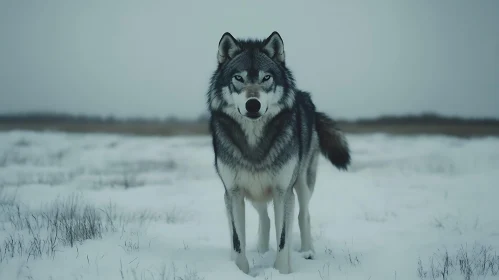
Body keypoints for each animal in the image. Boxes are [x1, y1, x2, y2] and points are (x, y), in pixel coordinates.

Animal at [206, 31, 352, 274]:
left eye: (266, 78)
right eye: (239, 78)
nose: (253, 104)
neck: (254, 142)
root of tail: (304, 95)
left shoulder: (283, 191)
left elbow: (283, 237)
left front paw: (282, 271)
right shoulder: (233, 192)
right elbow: (237, 241)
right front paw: (240, 270)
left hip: (302, 183)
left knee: (303, 215)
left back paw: (307, 251)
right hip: (253, 193)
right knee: (264, 218)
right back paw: (262, 250)